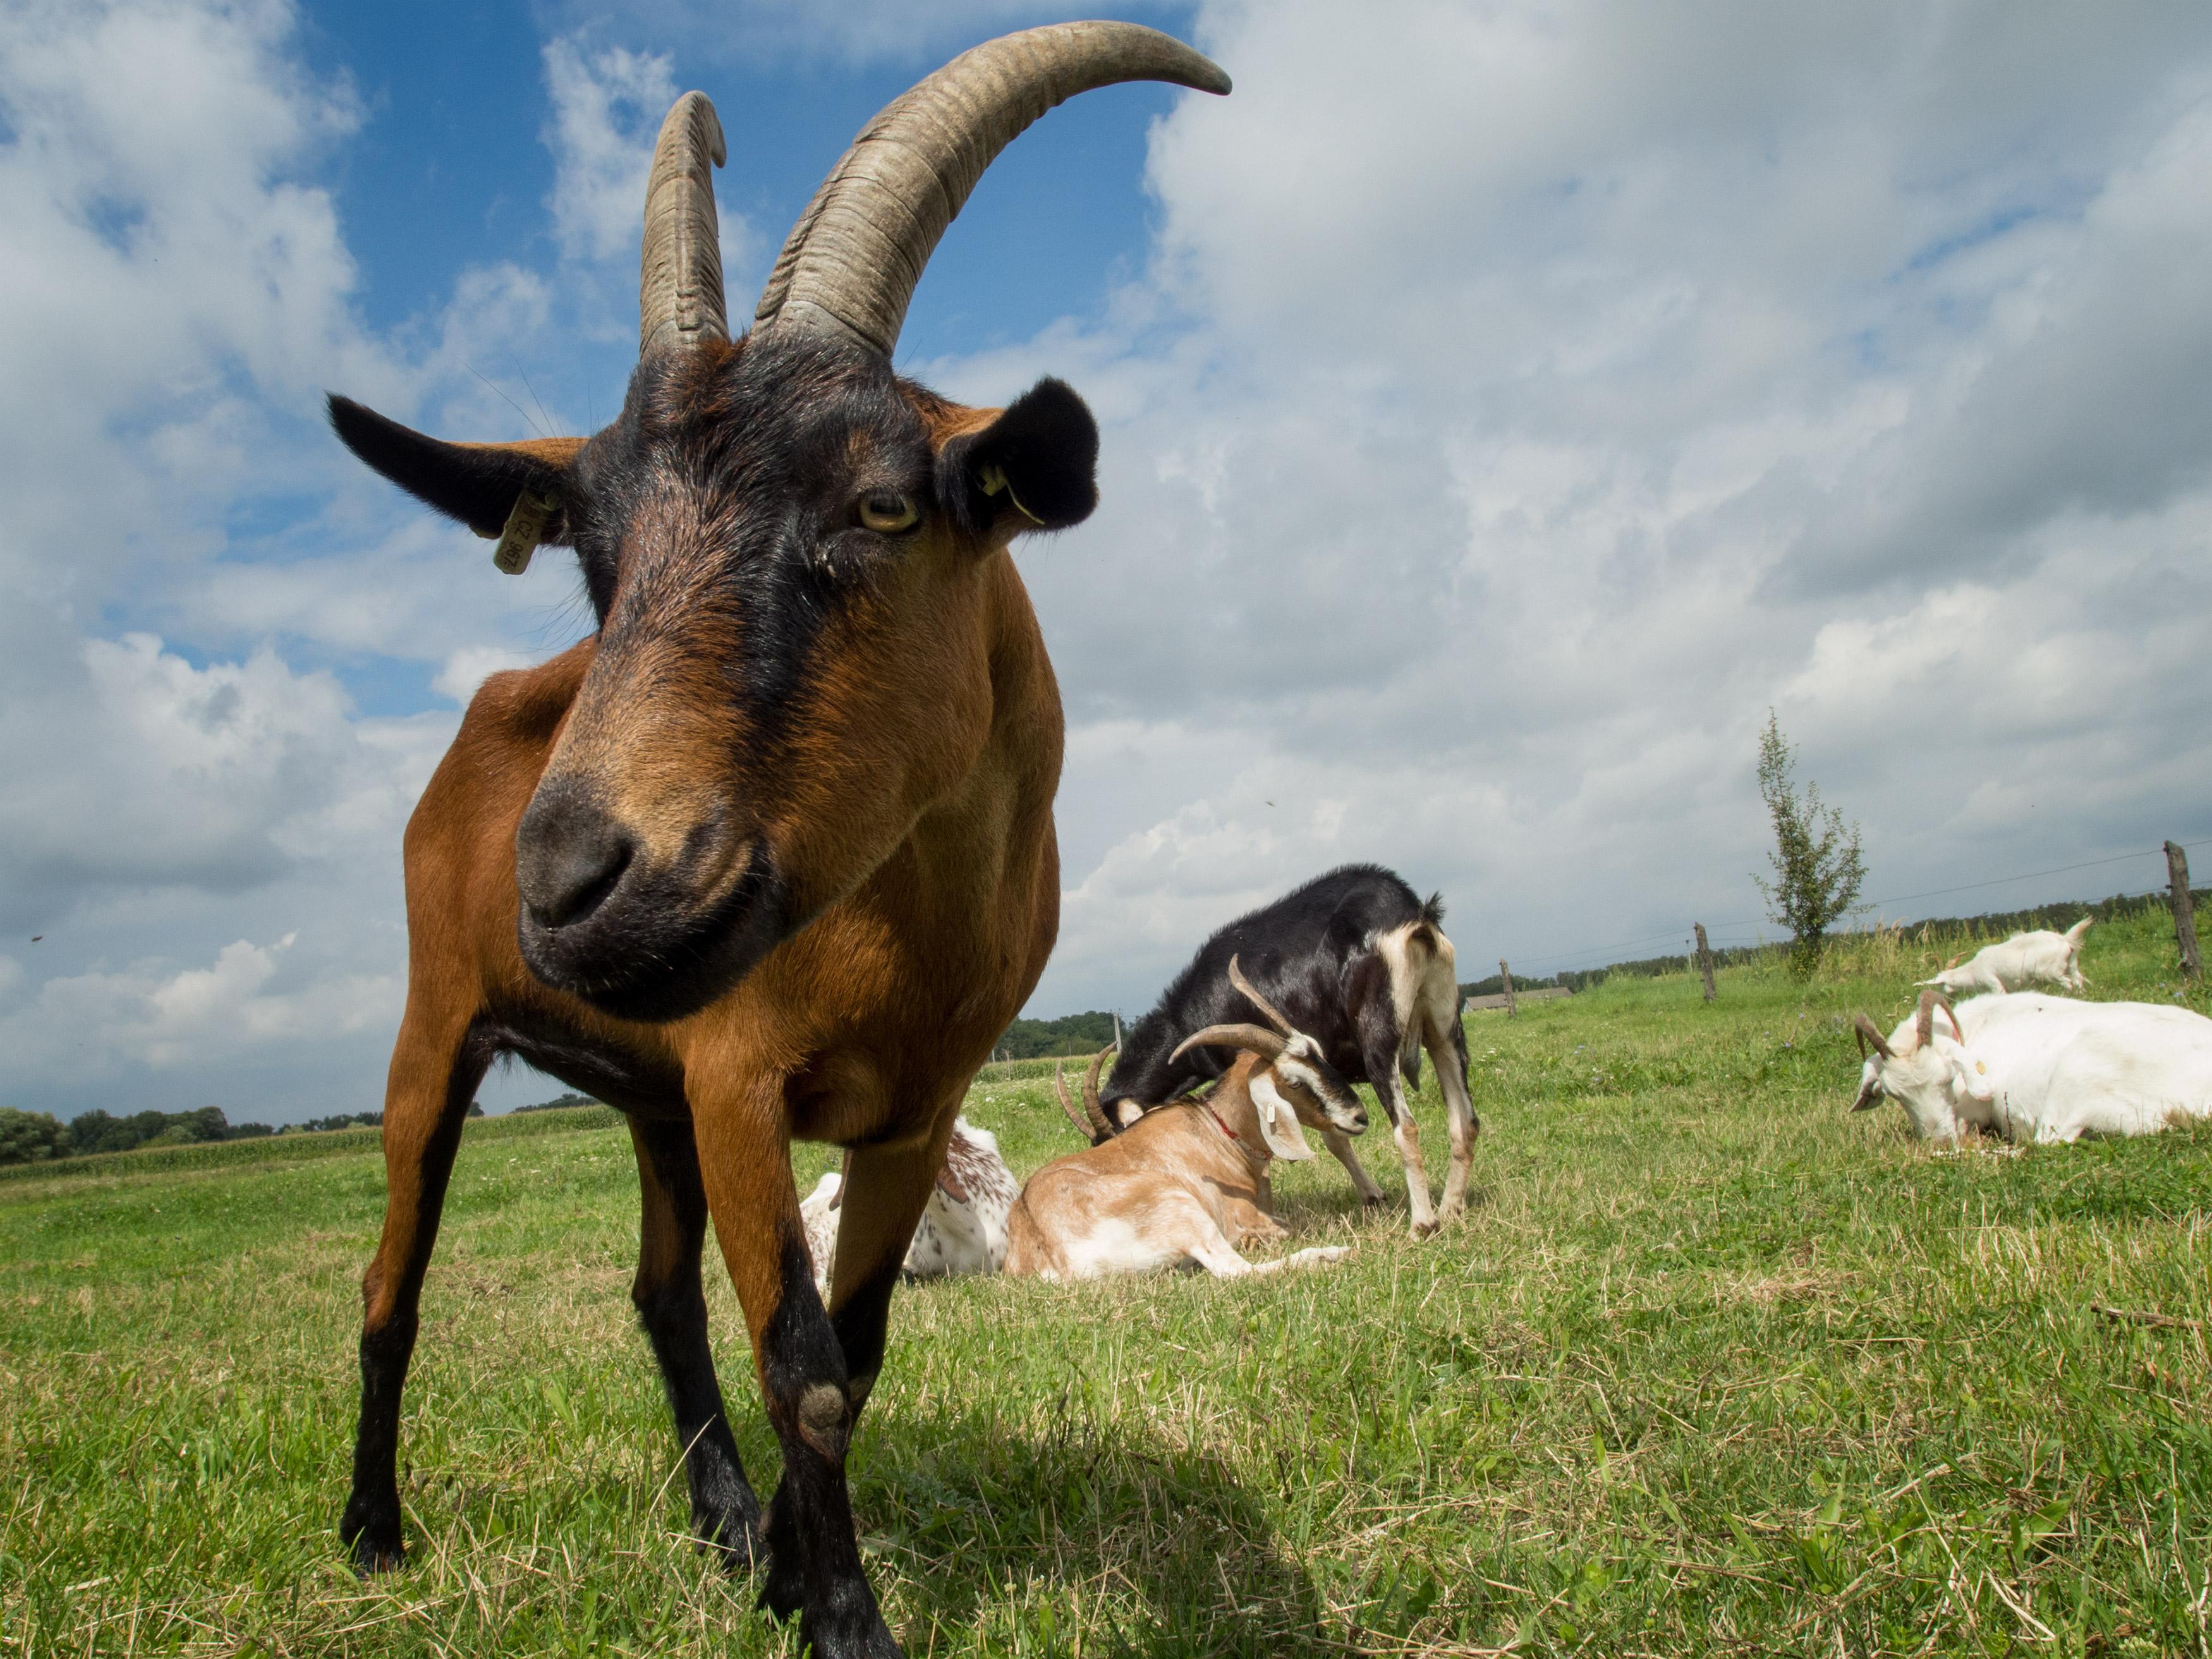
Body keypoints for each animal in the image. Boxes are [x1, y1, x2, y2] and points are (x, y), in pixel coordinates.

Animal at [1008, 1022, 1366, 1279]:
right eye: (1294, 1081)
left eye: (1320, 1055)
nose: (1359, 1117)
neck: (1216, 1132)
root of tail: (1051, 1252)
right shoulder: (1242, 1214)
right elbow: (1286, 1228)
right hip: (1182, 1207)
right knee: (1235, 1271)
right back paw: (1333, 1254)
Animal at [1085, 867, 1480, 1236]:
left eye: (1118, 1140)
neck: (1187, 1016)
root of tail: (1414, 914)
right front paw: (1374, 1195)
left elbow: (1316, 1138)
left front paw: (1368, 1195)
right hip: (1445, 1026)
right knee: (1466, 1120)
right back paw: (1451, 1209)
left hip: (1379, 1034)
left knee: (1406, 1126)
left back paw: (1423, 1223)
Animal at [1917, 919, 2092, 997]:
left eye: (1941, 986)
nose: (1945, 999)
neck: (1973, 971)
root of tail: (2065, 940)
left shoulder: (1995, 985)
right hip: (2072, 965)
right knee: (2078, 980)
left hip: (2051, 973)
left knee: (2068, 983)